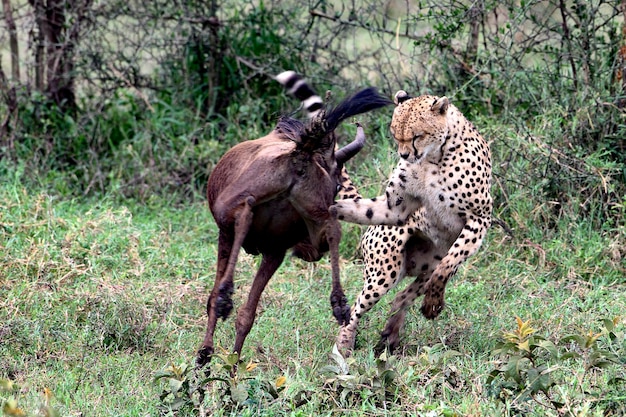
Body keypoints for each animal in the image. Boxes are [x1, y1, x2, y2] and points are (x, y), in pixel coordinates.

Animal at [330, 91, 490, 354]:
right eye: (396, 135)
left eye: (417, 136)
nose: (404, 155)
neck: (434, 157)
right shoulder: (396, 207)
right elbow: (367, 208)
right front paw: (328, 208)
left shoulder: (479, 217)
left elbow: (450, 262)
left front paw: (433, 303)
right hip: (385, 271)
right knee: (357, 307)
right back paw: (345, 346)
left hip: (423, 266)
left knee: (403, 295)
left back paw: (391, 335)